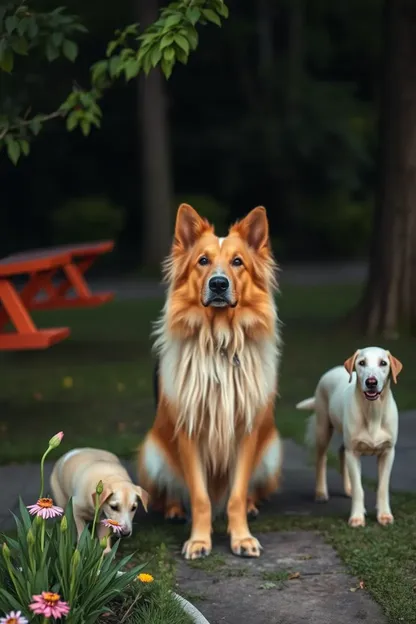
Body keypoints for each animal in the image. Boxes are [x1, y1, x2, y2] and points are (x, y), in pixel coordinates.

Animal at [138, 204, 282, 560]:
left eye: (237, 262)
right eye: (203, 260)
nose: (218, 284)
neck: (219, 342)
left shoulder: (246, 431)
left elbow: (236, 495)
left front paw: (242, 537)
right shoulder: (190, 431)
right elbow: (200, 497)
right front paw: (199, 540)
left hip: (271, 451)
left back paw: (252, 506)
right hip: (153, 452)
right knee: (170, 491)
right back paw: (175, 510)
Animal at [296, 346, 404, 528]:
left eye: (383, 363)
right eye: (362, 363)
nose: (371, 382)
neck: (373, 411)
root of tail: (333, 369)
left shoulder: (388, 452)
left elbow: (382, 487)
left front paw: (384, 515)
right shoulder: (353, 452)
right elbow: (359, 488)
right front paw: (357, 517)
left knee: (341, 451)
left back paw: (348, 489)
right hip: (323, 427)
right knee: (321, 458)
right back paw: (321, 493)